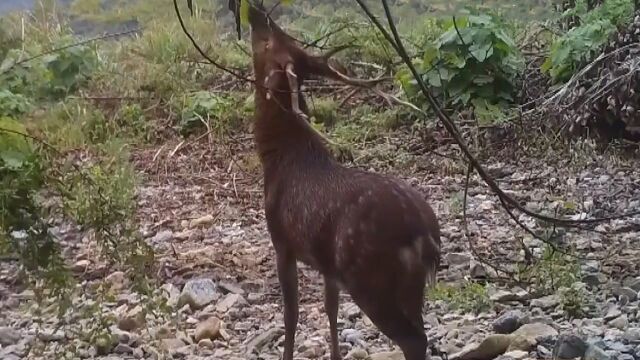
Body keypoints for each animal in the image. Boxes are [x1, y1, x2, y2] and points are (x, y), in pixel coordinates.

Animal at [235, 1, 440, 358]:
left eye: (270, 41)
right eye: (288, 36)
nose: (257, 11)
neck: (279, 160)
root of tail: (423, 234)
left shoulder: (281, 239)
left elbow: (291, 315)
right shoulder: (327, 264)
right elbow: (330, 309)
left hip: (368, 275)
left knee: (414, 339)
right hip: (409, 286)